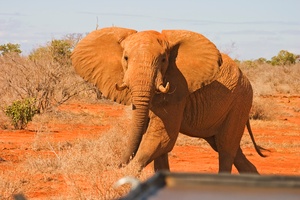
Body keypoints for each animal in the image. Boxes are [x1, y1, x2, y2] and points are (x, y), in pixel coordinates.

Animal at [71, 26, 264, 173]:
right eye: (125, 58)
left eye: (163, 60)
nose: (117, 164)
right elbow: (158, 143)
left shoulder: (177, 89)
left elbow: (162, 137)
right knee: (227, 147)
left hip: (240, 102)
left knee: (225, 149)